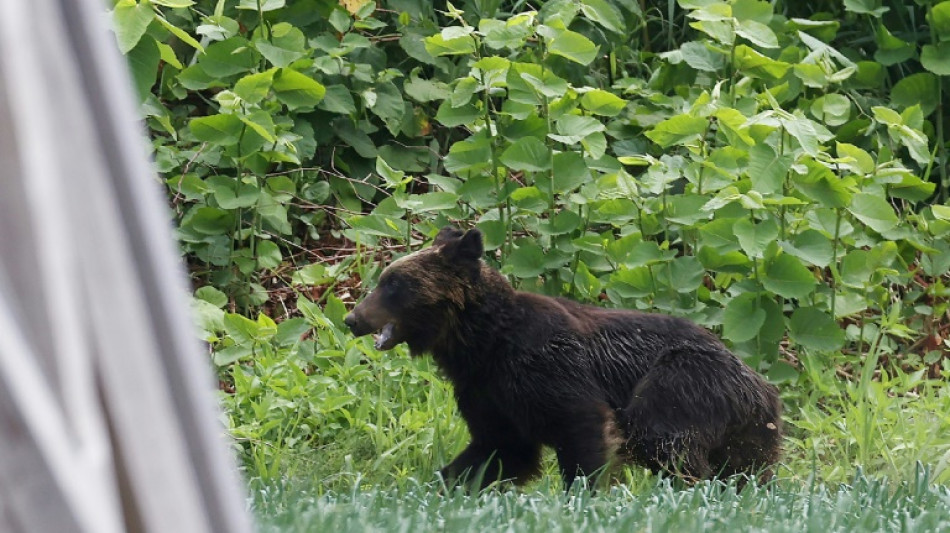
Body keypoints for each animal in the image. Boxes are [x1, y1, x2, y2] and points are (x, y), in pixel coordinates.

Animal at [346, 227, 784, 488]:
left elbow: (582, 427)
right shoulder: (486, 392)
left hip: (684, 380)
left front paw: (583, 493)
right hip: (750, 431)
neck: (481, 343)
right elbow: (498, 450)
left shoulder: (547, 367)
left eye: (393, 283)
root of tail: (762, 383)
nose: (352, 318)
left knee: (662, 436)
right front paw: (441, 484)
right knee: (745, 469)